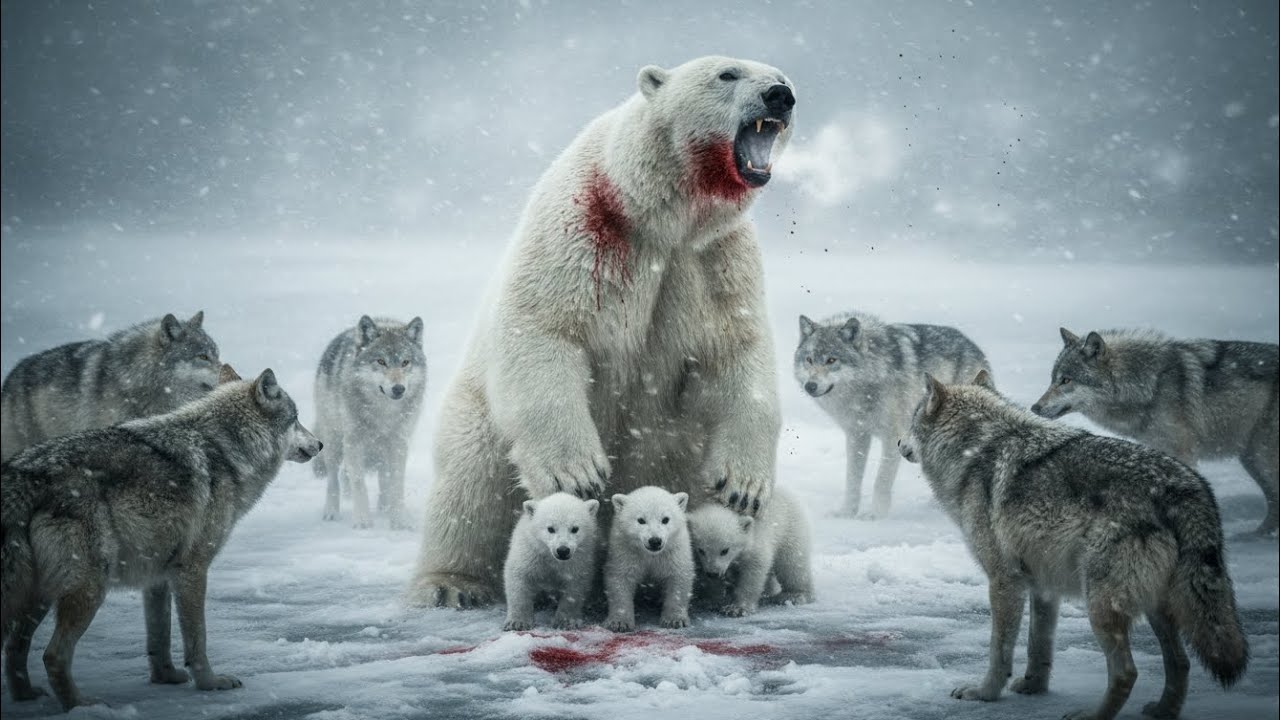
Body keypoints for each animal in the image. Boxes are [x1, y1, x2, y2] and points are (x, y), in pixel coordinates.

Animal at [408, 56, 797, 608]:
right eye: (728, 74)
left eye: (782, 75)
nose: (780, 96)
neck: (658, 219)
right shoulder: (583, 228)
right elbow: (544, 328)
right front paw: (578, 472)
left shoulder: (717, 259)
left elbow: (738, 354)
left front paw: (744, 485)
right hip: (477, 418)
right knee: (470, 488)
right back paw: (450, 584)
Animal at [502, 492, 601, 631]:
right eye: (550, 528)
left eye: (575, 528)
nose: (563, 550)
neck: (551, 557)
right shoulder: (530, 553)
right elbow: (518, 579)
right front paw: (517, 622)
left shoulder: (579, 560)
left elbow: (575, 588)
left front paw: (565, 621)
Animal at [603, 487, 695, 632]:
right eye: (641, 520)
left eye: (665, 519)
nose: (655, 541)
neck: (650, 554)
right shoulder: (625, 551)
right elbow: (620, 579)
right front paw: (619, 622)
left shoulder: (673, 552)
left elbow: (678, 578)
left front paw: (674, 620)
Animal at [687, 486, 814, 616]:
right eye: (701, 550)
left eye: (725, 550)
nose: (713, 573)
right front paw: (712, 601)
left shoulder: (755, 541)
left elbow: (753, 572)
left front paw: (737, 608)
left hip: (789, 529)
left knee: (792, 564)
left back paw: (794, 595)